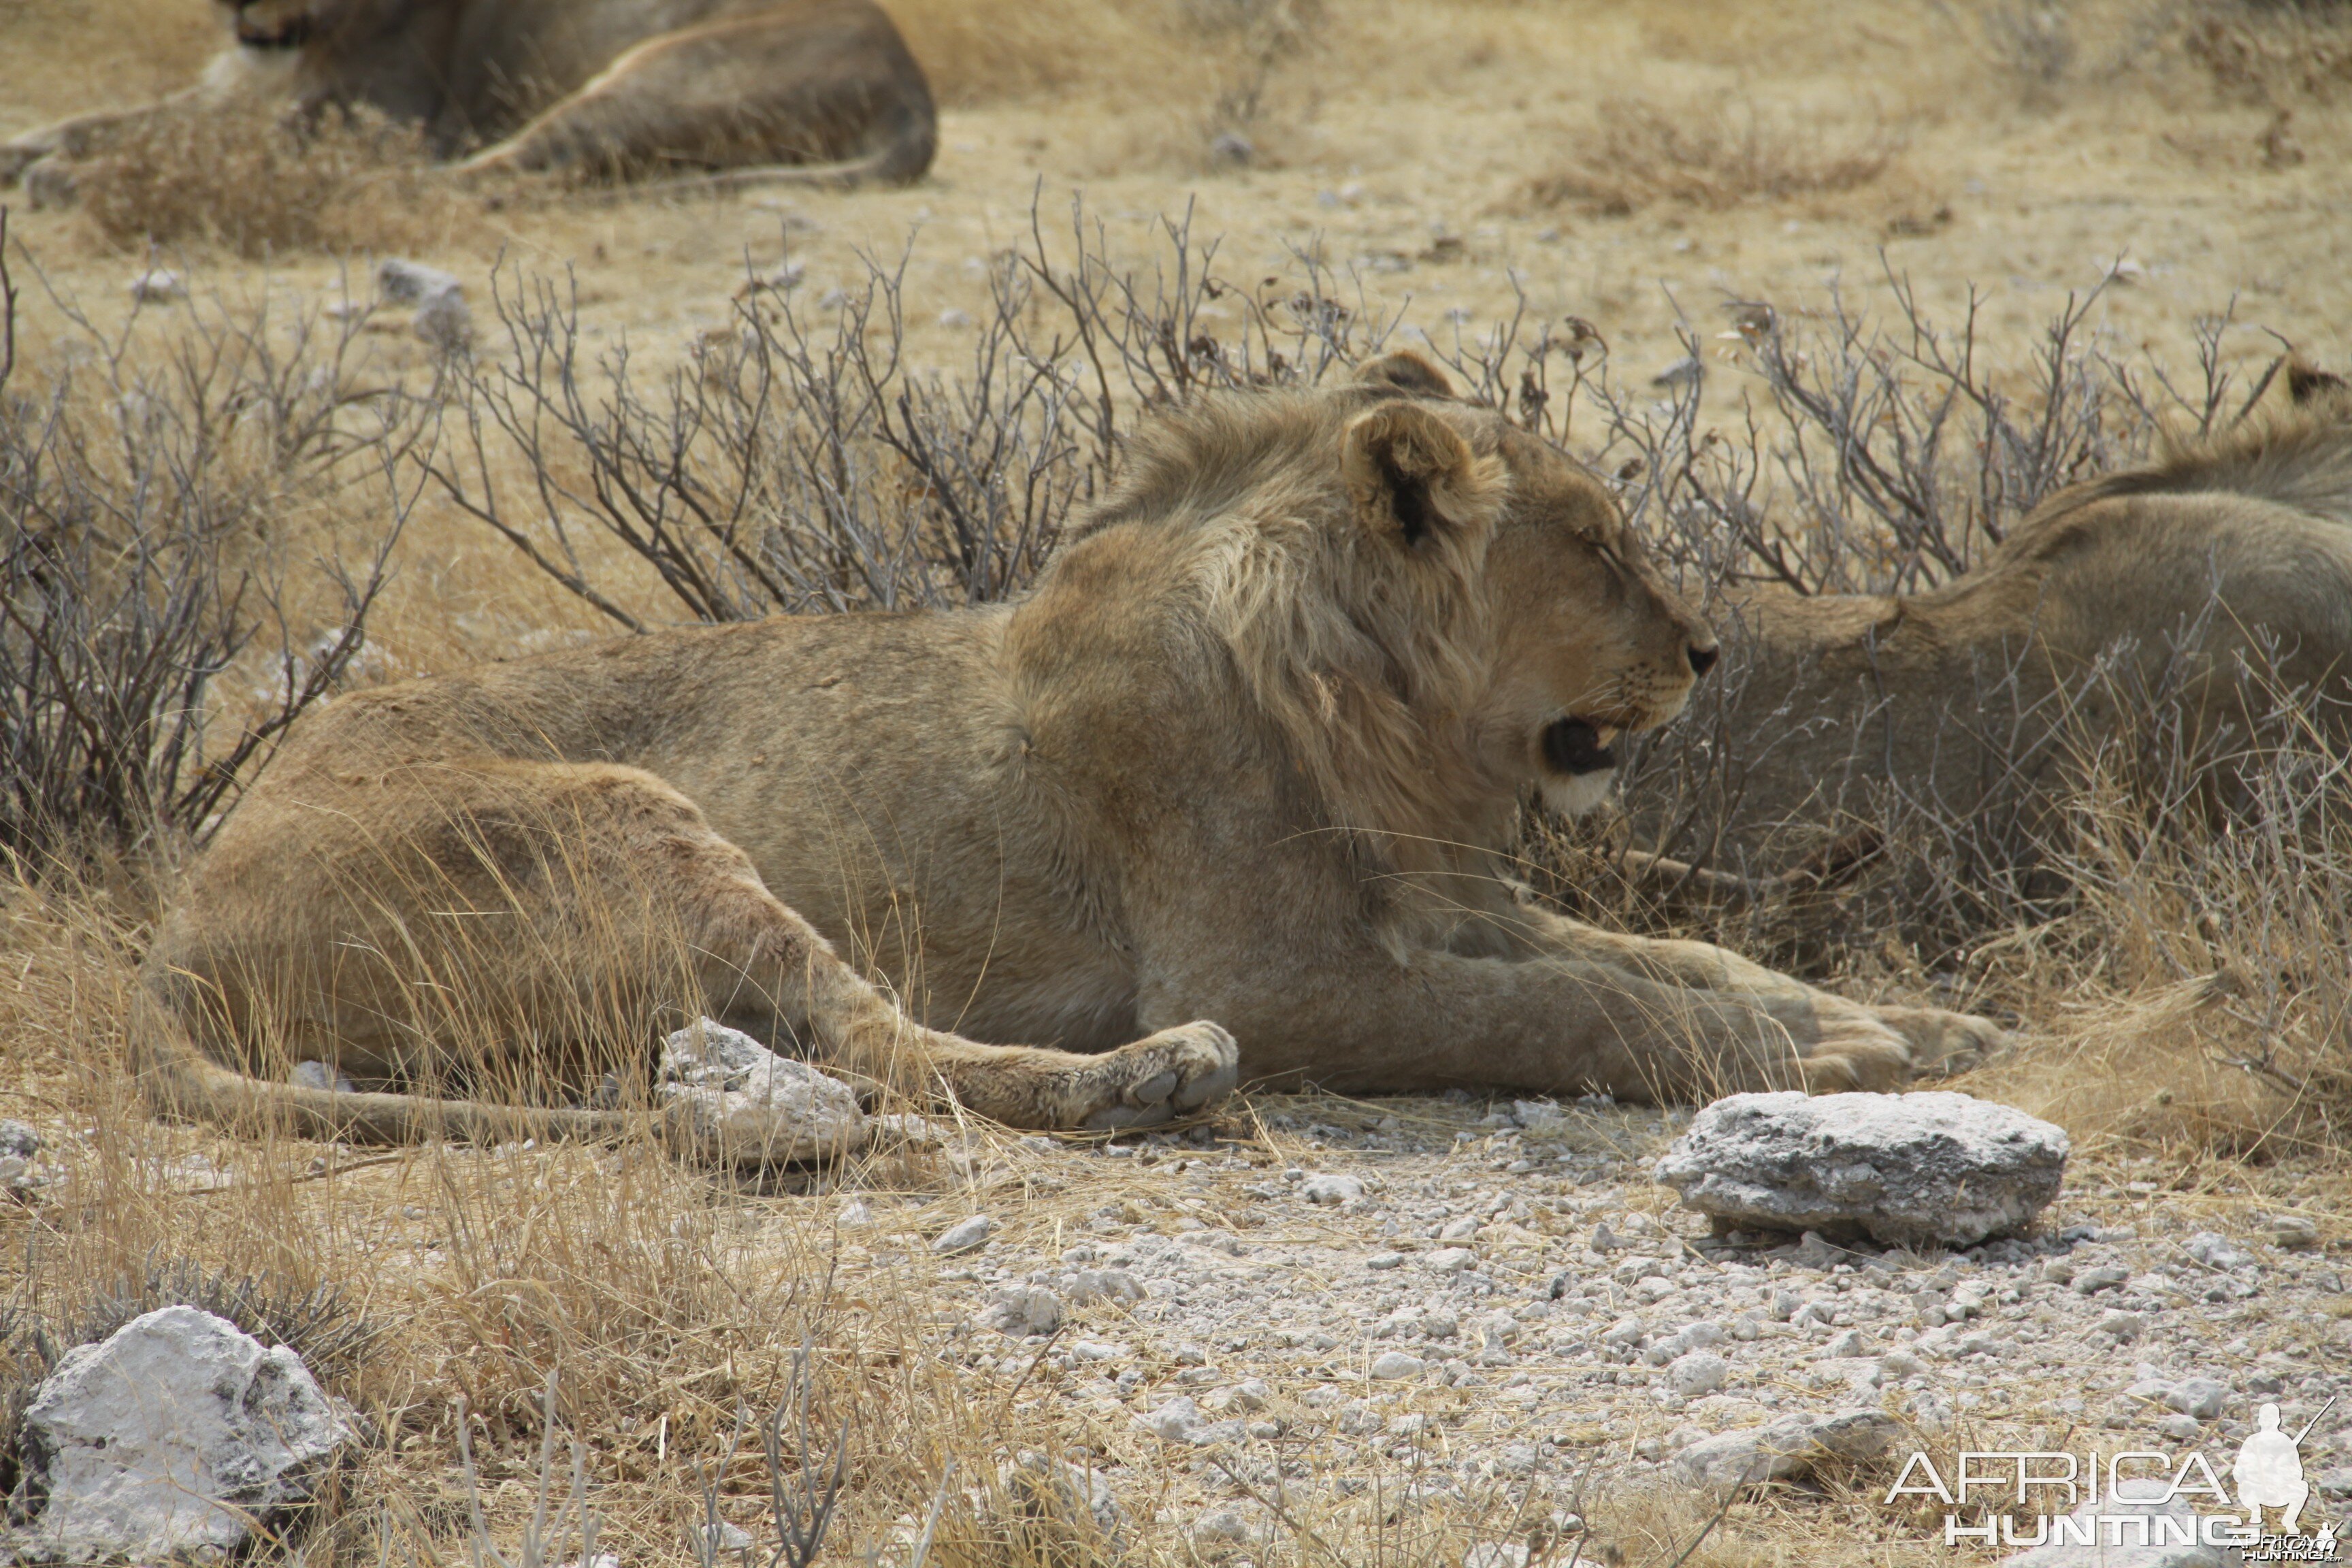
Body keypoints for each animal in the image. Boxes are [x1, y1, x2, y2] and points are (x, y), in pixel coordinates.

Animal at [133, 355, 2004, 1166]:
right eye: (1602, 546)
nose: (1706, 654)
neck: (1380, 716)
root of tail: (174, 919)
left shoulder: (1432, 899)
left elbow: (1662, 949)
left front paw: (1906, 1026)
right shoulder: (1285, 969)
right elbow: (1570, 1007)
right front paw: (1828, 1054)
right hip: (626, 825)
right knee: (878, 1051)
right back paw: (1145, 1080)